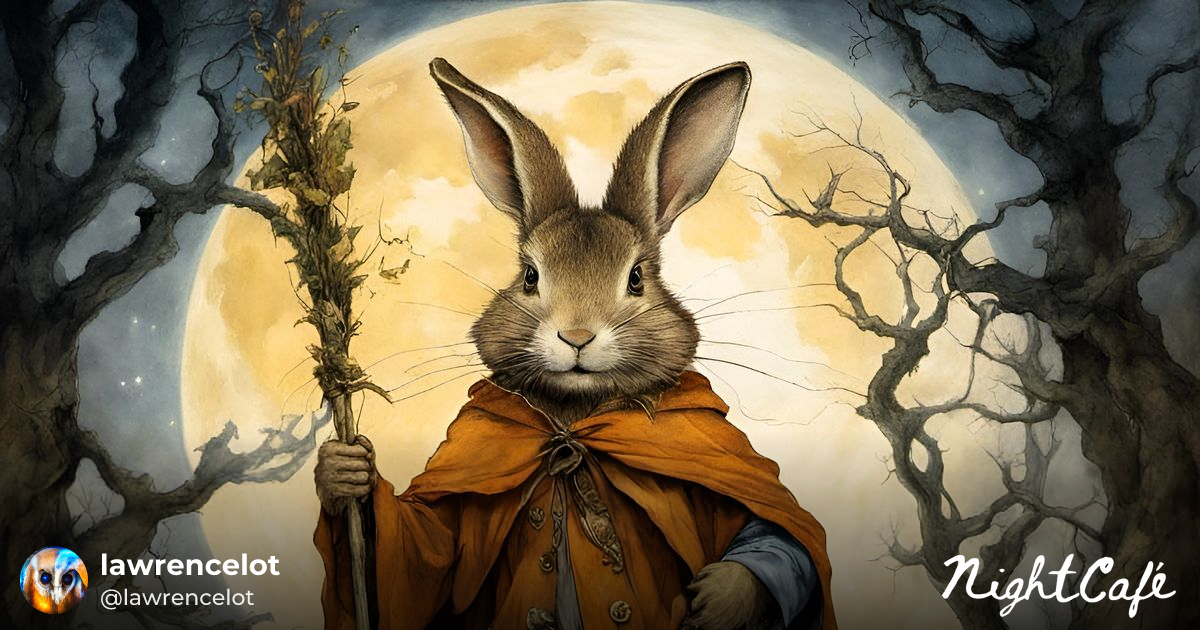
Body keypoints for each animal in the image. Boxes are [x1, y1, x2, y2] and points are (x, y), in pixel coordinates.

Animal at [317, 58, 814, 630]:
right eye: (530, 277)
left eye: (637, 278)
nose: (576, 337)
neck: (575, 424)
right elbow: (425, 550)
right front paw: (343, 470)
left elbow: (775, 532)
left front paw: (719, 596)